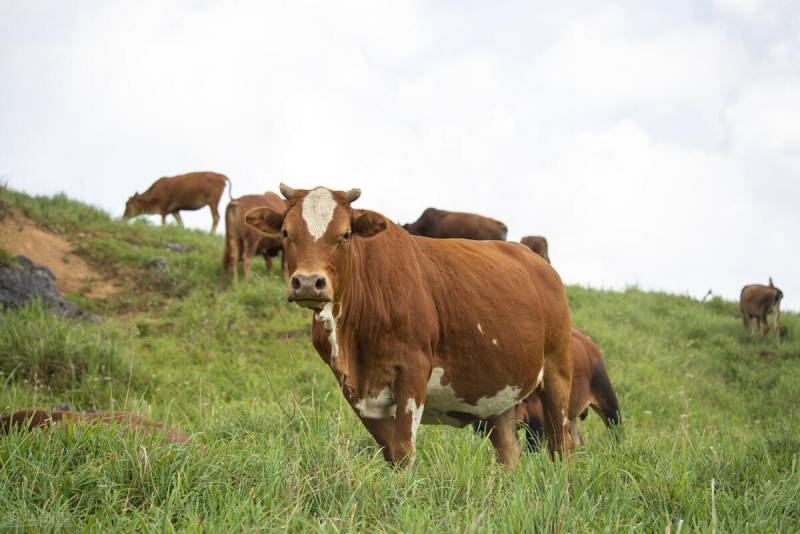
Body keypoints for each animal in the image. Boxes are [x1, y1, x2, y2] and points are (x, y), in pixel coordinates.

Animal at [245, 184, 576, 468]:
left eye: (345, 234)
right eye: (286, 232)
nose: (308, 283)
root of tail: (539, 263)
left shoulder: (413, 371)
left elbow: (403, 451)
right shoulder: (354, 387)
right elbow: (390, 452)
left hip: (557, 372)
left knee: (561, 444)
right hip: (501, 393)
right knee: (508, 452)